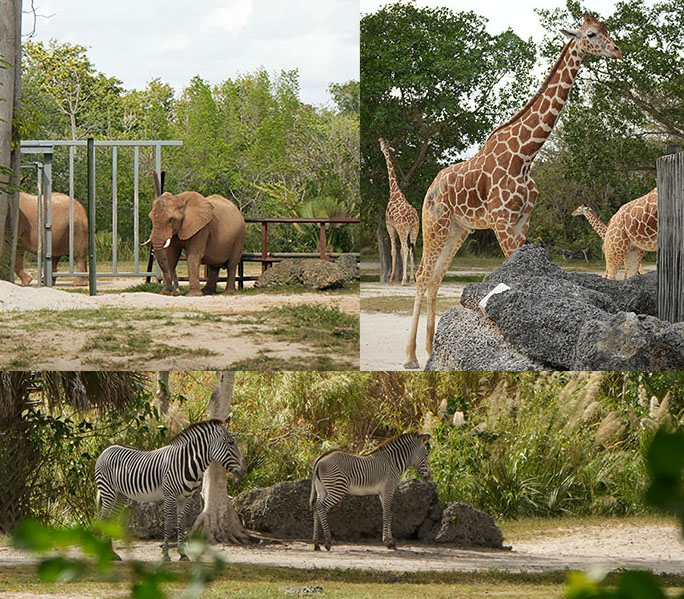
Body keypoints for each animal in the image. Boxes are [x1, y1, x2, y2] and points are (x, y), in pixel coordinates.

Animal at [95, 420, 246, 560]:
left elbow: (181, 524)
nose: (244, 470)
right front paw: (165, 554)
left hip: (120, 495)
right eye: (230, 443)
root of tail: (108, 449)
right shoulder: (170, 496)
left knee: (110, 520)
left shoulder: (186, 498)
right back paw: (102, 553)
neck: (186, 464)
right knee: (103, 519)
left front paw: (183, 554)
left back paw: (112, 554)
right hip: (108, 491)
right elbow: (168, 524)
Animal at [376, 138, 420, 286]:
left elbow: (394, 250)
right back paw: (412, 279)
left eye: (383, 144)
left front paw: (391, 279)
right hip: (415, 230)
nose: (379, 140)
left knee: (405, 249)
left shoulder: (390, 226)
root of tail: (412, 218)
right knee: (411, 249)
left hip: (403, 229)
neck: (394, 192)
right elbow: (399, 250)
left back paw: (404, 280)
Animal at [404, 15, 624, 370]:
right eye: (591, 34)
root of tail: (431, 187)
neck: (526, 155)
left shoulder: (522, 221)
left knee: (436, 277)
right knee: (423, 276)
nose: (617, 50)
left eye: (606, 30)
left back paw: (428, 349)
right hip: (434, 223)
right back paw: (410, 355)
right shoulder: (502, 222)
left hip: (458, 230)